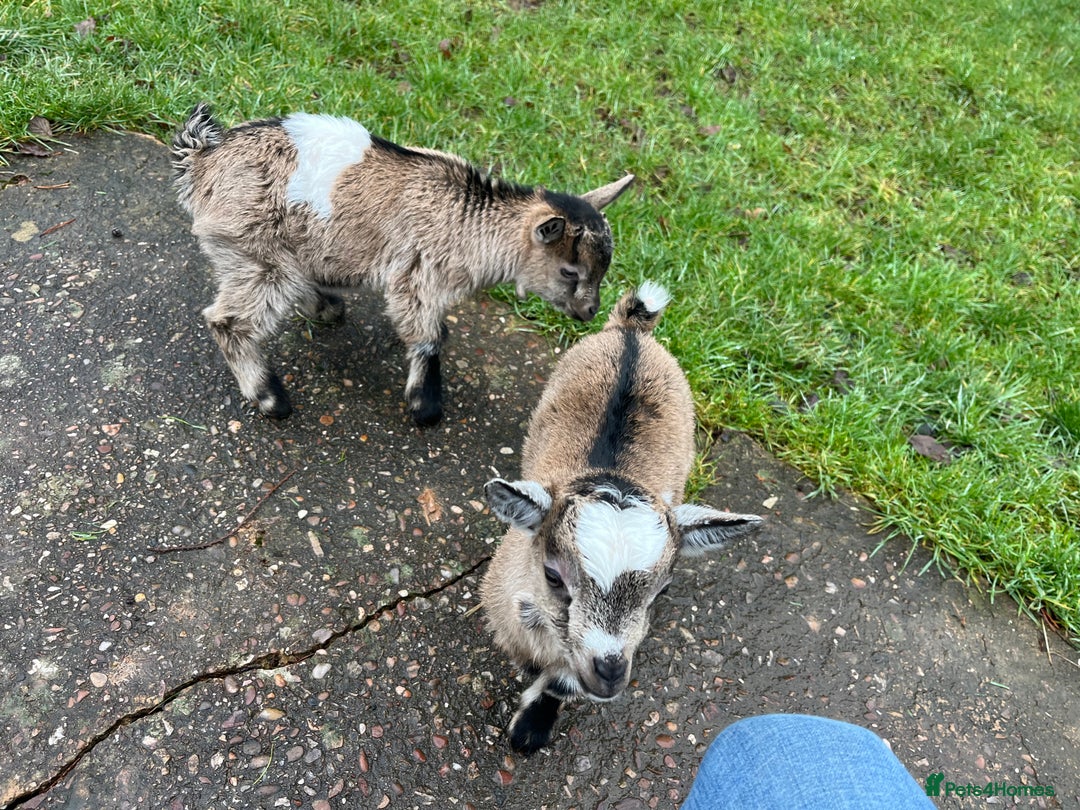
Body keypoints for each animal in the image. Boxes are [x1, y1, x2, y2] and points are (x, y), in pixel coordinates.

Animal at [170, 103, 634, 425]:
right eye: (570, 272)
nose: (590, 310)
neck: (471, 221)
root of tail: (203, 161)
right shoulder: (418, 274)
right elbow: (426, 334)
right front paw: (424, 405)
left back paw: (325, 306)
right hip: (255, 247)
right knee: (228, 320)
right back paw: (270, 397)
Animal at [480, 282, 764, 753]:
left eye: (663, 590)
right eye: (553, 576)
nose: (611, 674)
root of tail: (632, 330)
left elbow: (561, 683)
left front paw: (531, 728)